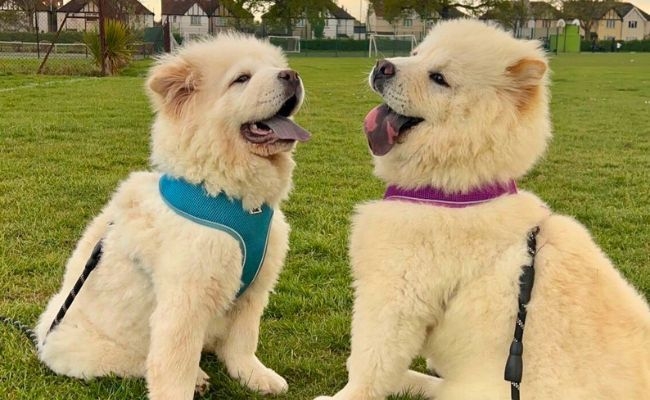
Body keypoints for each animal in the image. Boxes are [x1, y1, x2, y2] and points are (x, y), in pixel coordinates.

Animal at [34, 35, 308, 400]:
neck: (231, 198)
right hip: (90, 348)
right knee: (143, 362)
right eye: (242, 79)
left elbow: (243, 342)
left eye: (276, 66)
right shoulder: (184, 302)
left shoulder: (253, 292)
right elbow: (173, 367)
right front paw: (189, 382)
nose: (292, 75)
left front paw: (255, 377)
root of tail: (43, 334)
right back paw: (198, 377)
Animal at [314, 20, 644, 400]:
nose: (383, 66)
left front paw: (342, 396)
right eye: (416, 53)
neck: (459, 194)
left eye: (439, 78)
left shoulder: (394, 295)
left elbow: (370, 366)